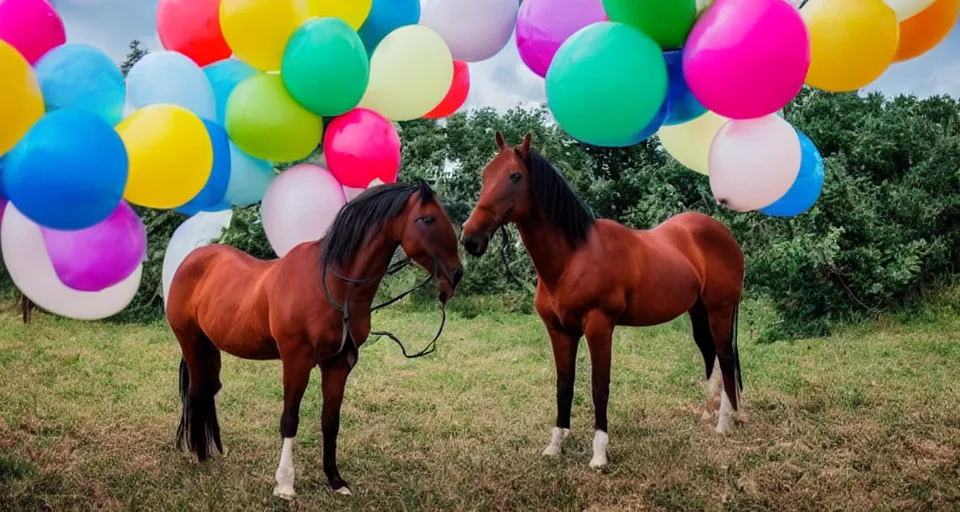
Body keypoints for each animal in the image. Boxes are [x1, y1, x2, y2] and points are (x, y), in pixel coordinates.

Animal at [166, 179, 464, 496]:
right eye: (427, 219)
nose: (456, 274)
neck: (333, 287)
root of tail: (191, 261)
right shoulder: (296, 360)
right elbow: (290, 419)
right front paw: (285, 484)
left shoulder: (338, 364)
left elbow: (330, 422)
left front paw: (335, 480)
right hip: (191, 341)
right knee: (197, 391)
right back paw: (200, 455)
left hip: (210, 346)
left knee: (209, 390)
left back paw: (211, 451)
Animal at [462, 134, 748, 470]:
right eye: (485, 176)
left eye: (515, 176)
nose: (470, 238)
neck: (573, 257)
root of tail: (725, 237)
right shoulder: (560, 331)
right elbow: (564, 384)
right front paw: (556, 444)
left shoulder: (599, 327)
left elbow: (600, 386)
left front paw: (599, 454)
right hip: (698, 312)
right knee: (711, 356)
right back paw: (711, 413)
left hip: (720, 310)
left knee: (725, 359)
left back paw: (724, 423)